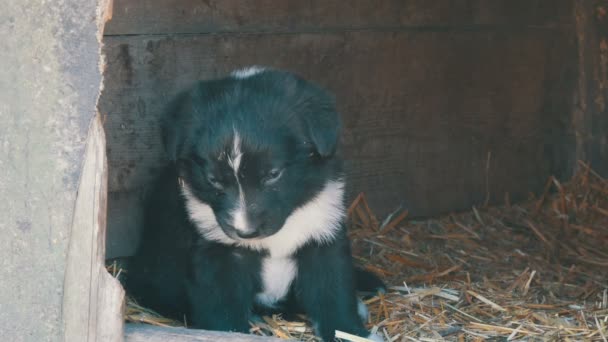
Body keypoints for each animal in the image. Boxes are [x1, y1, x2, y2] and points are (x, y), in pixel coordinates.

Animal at [125, 67, 382, 342]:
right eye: (213, 180)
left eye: (273, 174)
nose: (245, 232)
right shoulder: (219, 252)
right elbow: (222, 309)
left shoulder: (322, 233)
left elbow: (333, 296)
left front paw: (351, 332)